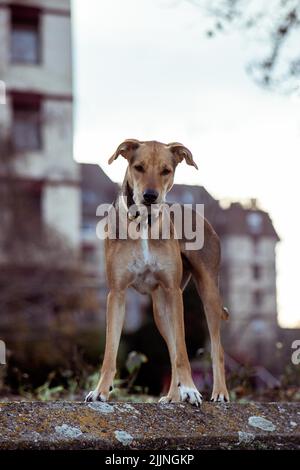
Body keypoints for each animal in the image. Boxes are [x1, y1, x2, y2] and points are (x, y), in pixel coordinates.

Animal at [85, 139, 231, 404]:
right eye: (139, 167)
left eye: (166, 170)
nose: (150, 196)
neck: (144, 222)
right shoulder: (117, 293)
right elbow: (111, 351)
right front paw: (101, 391)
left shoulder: (174, 292)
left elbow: (183, 351)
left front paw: (191, 389)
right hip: (160, 310)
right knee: (171, 349)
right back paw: (173, 396)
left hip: (208, 293)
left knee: (216, 348)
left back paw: (219, 393)